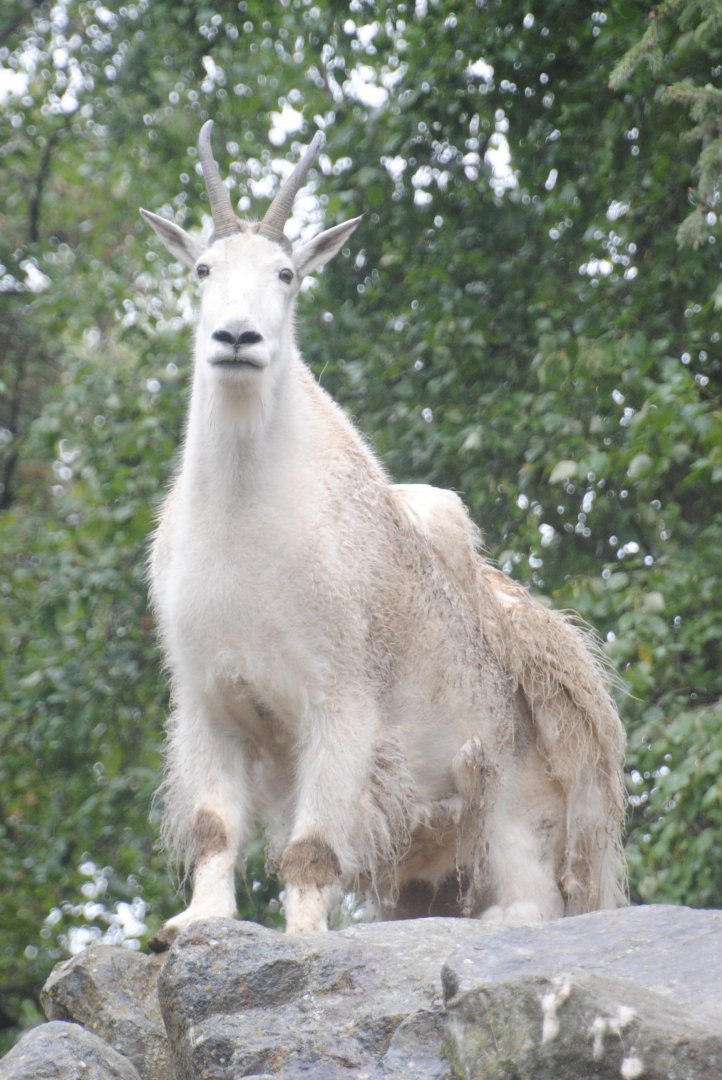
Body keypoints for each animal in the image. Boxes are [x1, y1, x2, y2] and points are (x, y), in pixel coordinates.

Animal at [140, 122, 626, 949]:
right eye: (203, 268)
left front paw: (304, 937)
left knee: (534, 901)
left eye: (287, 274)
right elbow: (214, 826)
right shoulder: (209, 700)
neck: (248, 522)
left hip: (521, 817)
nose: (236, 337)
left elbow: (310, 846)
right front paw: (195, 924)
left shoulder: (342, 704)